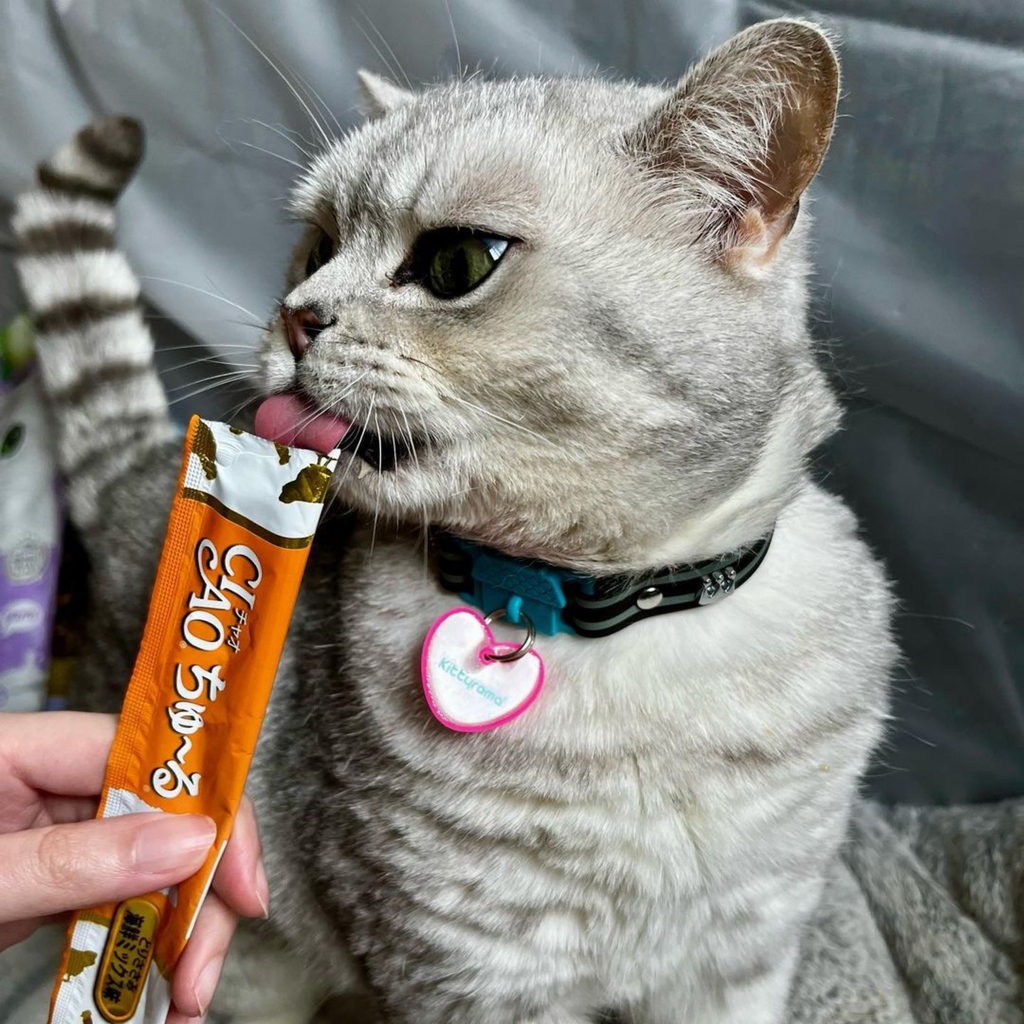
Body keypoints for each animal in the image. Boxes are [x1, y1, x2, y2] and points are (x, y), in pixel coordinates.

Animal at [14, 16, 897, 1024]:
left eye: (458, 264)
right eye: (316, 246)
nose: (295, 316)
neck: (610, 615)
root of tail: (142, 473)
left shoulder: (740, 957)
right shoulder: (475, 974)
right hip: (252, 968)